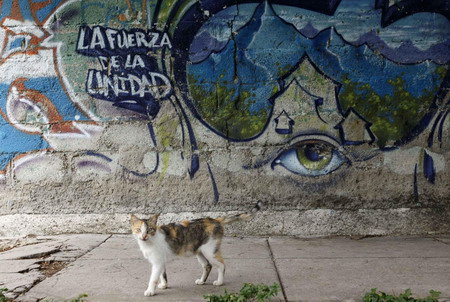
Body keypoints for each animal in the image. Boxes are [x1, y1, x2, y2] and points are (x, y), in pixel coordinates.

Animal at [130, 202, 262, 296]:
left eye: (149, 230)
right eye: (138, 230)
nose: (143, 236)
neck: (149, 242)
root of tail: (215, 219)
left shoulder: (157, 262)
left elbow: (153, 278)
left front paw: (150, 291)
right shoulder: (161, 260)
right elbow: (162, 274)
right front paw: (164, 285)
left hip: (210, 251)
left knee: (221, 265)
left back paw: (219, 282)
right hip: (200, 252)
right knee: (208, 266)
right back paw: (202, 281)